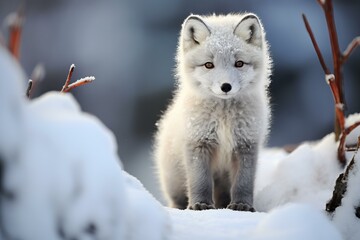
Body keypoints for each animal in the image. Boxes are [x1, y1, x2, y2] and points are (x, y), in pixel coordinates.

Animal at [154, 13, 270, 211]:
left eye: (239, 63)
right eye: (208, 65)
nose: (226, 86)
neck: (224, 119)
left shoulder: (246, 145)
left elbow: (243, 183)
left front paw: (242, 205)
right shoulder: (198, 143)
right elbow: (200, 182)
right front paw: (200, 204)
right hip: (174, 182)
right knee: (178, 200)